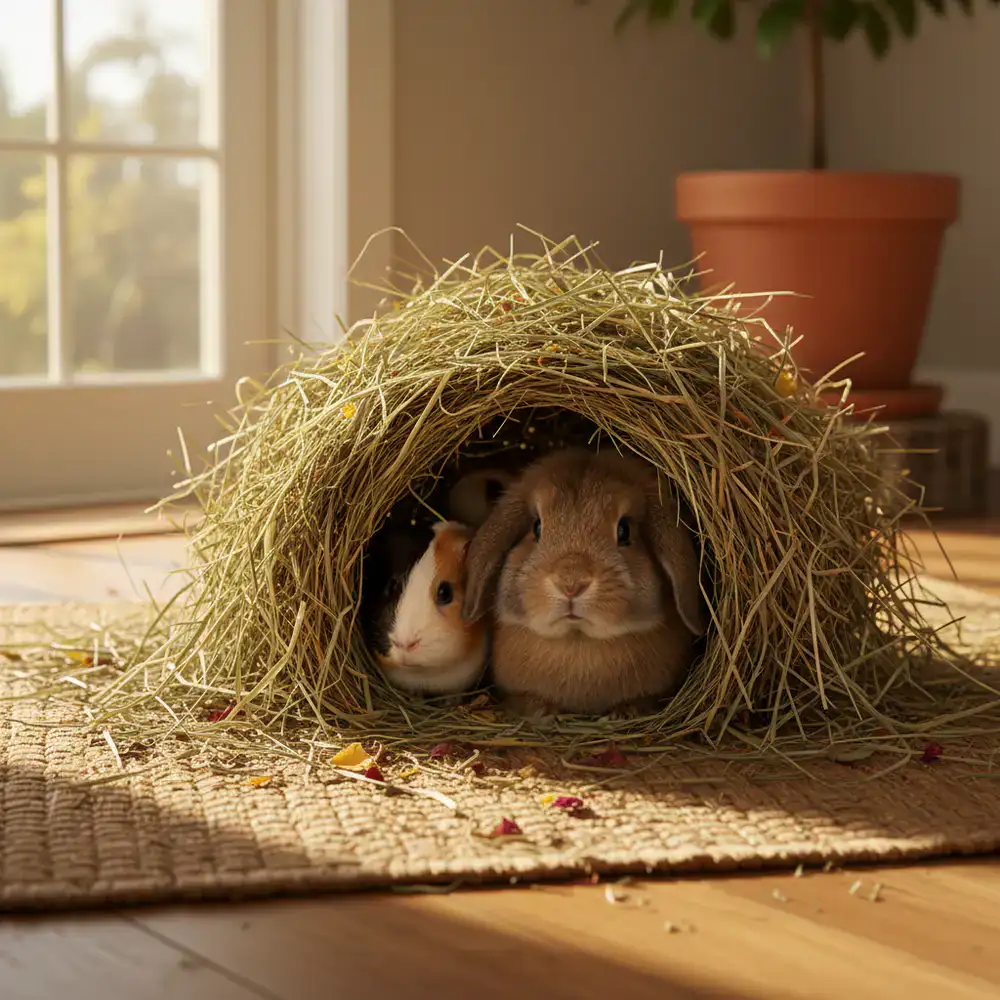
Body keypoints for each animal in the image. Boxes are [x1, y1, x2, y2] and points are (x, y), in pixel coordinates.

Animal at [461, 447, 708, 718]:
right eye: (536, 527)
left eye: (624, 530)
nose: (571, 583)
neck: (577, 639)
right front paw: (541, 710)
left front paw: (626, 711)